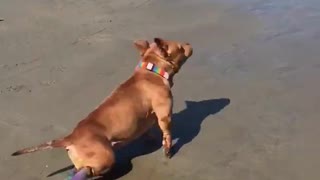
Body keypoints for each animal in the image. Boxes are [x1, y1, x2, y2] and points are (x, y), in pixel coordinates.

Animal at [11, 37, 192, 179]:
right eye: (181, 47)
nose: (189, 43)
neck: (153, 70)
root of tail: (71, 138)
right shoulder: (164, 115)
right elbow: (167, 133)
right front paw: (168, 148)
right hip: (105, 156)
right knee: (92, 170)